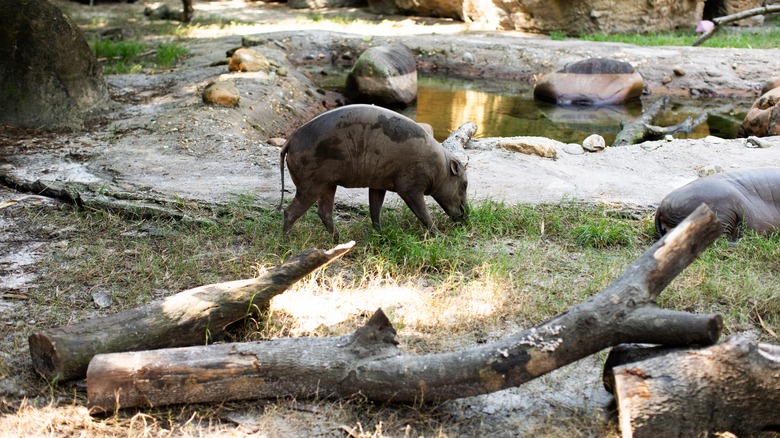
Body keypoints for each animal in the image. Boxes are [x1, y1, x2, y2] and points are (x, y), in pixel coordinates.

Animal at [278, 103, 470, 240]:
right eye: (465, 184)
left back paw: (338, 239)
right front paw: (440, 235)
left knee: (324, 212)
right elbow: (423, 214)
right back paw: (288, 241)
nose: (467, 216)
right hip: (311, 185)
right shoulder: (410, 188)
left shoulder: (378, 185)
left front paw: (380, 233)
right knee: (290, 212)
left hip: (328, 185)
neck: (441, 169)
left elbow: (375, 210)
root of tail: (290, 140)